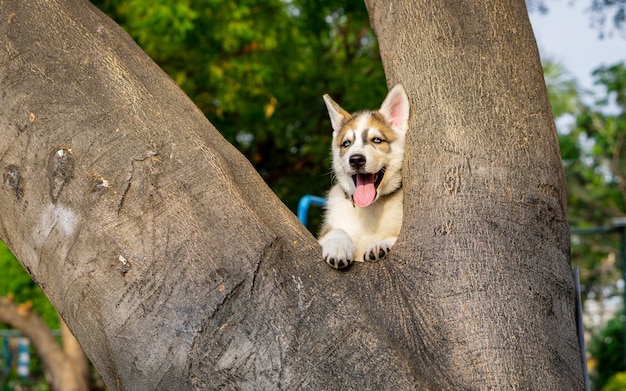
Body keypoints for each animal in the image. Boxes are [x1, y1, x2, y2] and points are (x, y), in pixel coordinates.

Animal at [316, 85, 410, 270]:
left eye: (377, 140)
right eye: (346, 143)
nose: (356, 160)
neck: (370, 208)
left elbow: (393, 237)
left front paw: (379, 245)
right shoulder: (323, 234)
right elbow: (336, 230)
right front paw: (338, 247)